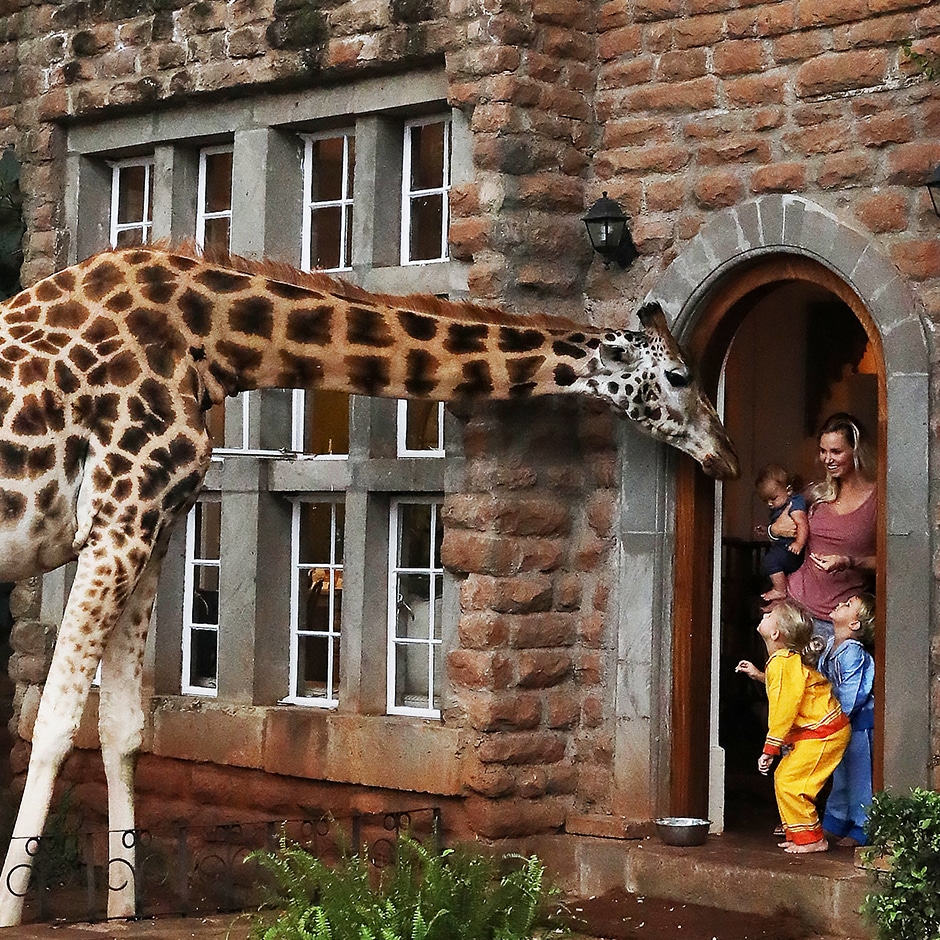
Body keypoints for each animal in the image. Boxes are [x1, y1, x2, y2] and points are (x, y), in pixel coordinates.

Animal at [0, 244, 738, 925]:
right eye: (679, 375)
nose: (726, 456)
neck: (212, 342)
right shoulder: (117, 524)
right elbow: (53, 724)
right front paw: (14, 910)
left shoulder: (151, 530)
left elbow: (122, 727)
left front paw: (122, 912)